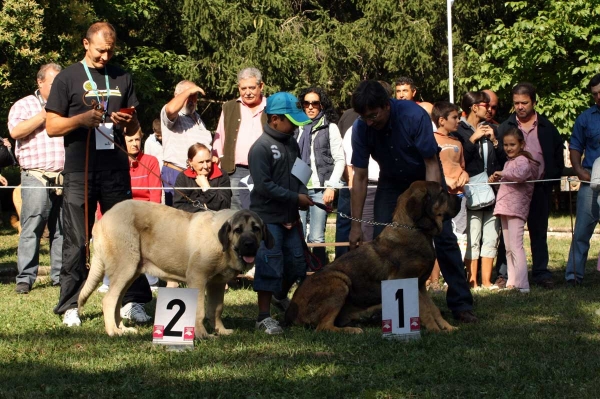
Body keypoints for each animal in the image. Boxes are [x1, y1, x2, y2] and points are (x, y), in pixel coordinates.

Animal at [78, 202, 274, 340]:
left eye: (256, 229)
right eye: (238, 230)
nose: (249, 244)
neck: (223, 244)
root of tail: (102, 220)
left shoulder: (217, 284)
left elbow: (216, 309)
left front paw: (221, 331)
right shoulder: (197, 278)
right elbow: (200, 311)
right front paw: (202, 335)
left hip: (130, 273)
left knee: (117, 301)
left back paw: (123, 329)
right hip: (126, 267)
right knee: (108, 300)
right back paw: (113, 331)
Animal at [286, 181, 460, 334]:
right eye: (442, 192)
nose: (460, 197)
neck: (415, 229)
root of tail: (291, 312)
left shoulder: (421, 285)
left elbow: (433, 308)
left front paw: (448, 327)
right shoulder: (408, 280)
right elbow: (425, 309)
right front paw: (436, 330)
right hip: (339, 282)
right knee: (323, 327)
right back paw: (351, 330)